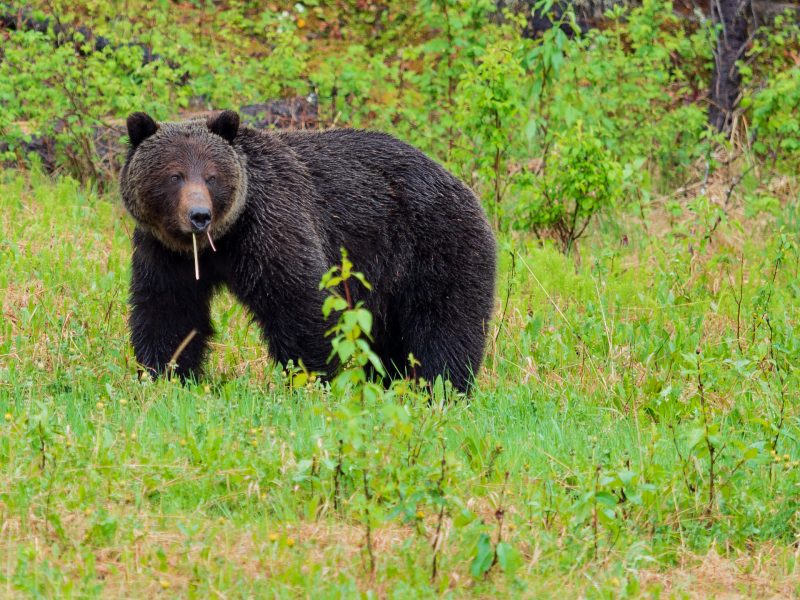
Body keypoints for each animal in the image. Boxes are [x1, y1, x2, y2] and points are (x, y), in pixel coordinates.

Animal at [120, 111, 494, 394]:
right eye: (174, 175)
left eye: (212, 176)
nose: (199, 215)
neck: (220, 241)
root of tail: (465, 188)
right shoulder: (165, 254)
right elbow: (168, 312)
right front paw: (165, 375)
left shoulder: (271, 225)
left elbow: (299, 302)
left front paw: (311, 378)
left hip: (435, 249)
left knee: (444, 327)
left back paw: (442, 388)